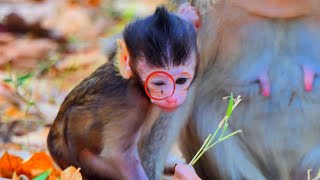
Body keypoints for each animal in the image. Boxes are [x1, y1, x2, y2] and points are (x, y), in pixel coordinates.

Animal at [47, 4, 200, 180]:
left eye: (181, 80)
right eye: (159, 83)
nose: (172, 97)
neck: (137, 85)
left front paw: (186, 16)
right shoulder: (130, 106)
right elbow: (119, 154)